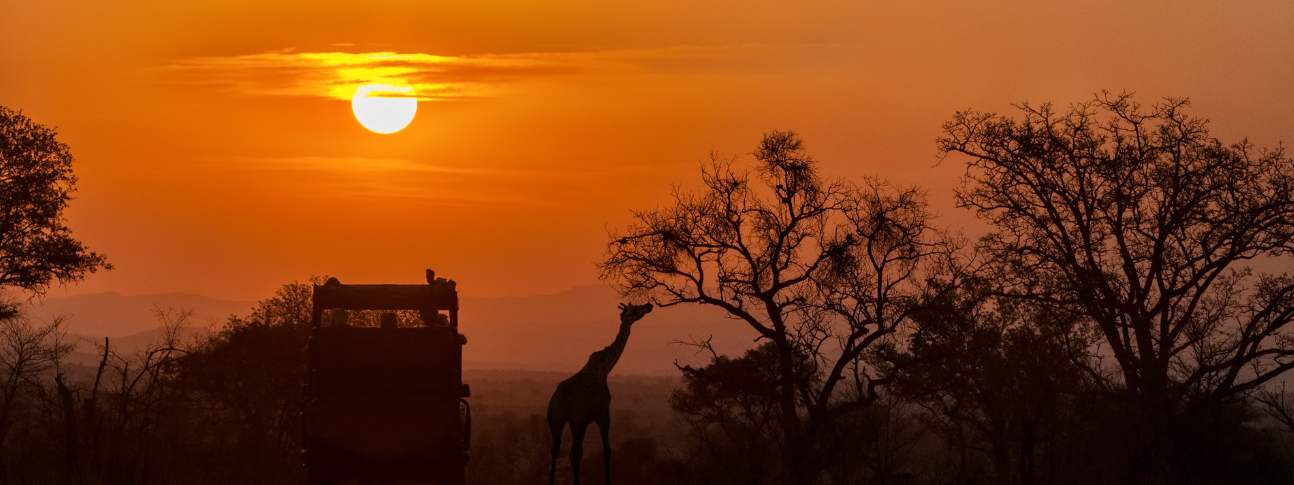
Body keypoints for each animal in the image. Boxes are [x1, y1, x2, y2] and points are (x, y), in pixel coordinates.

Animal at [546, 302, 652, 483]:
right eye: (637, 308)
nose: (649, 305)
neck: (605, 368)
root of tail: (560, 401)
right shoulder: (603, 413)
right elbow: (607, 450)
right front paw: (608, 481)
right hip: (577, 421)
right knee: (574, 453)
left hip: (556, 420)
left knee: (556, 451)